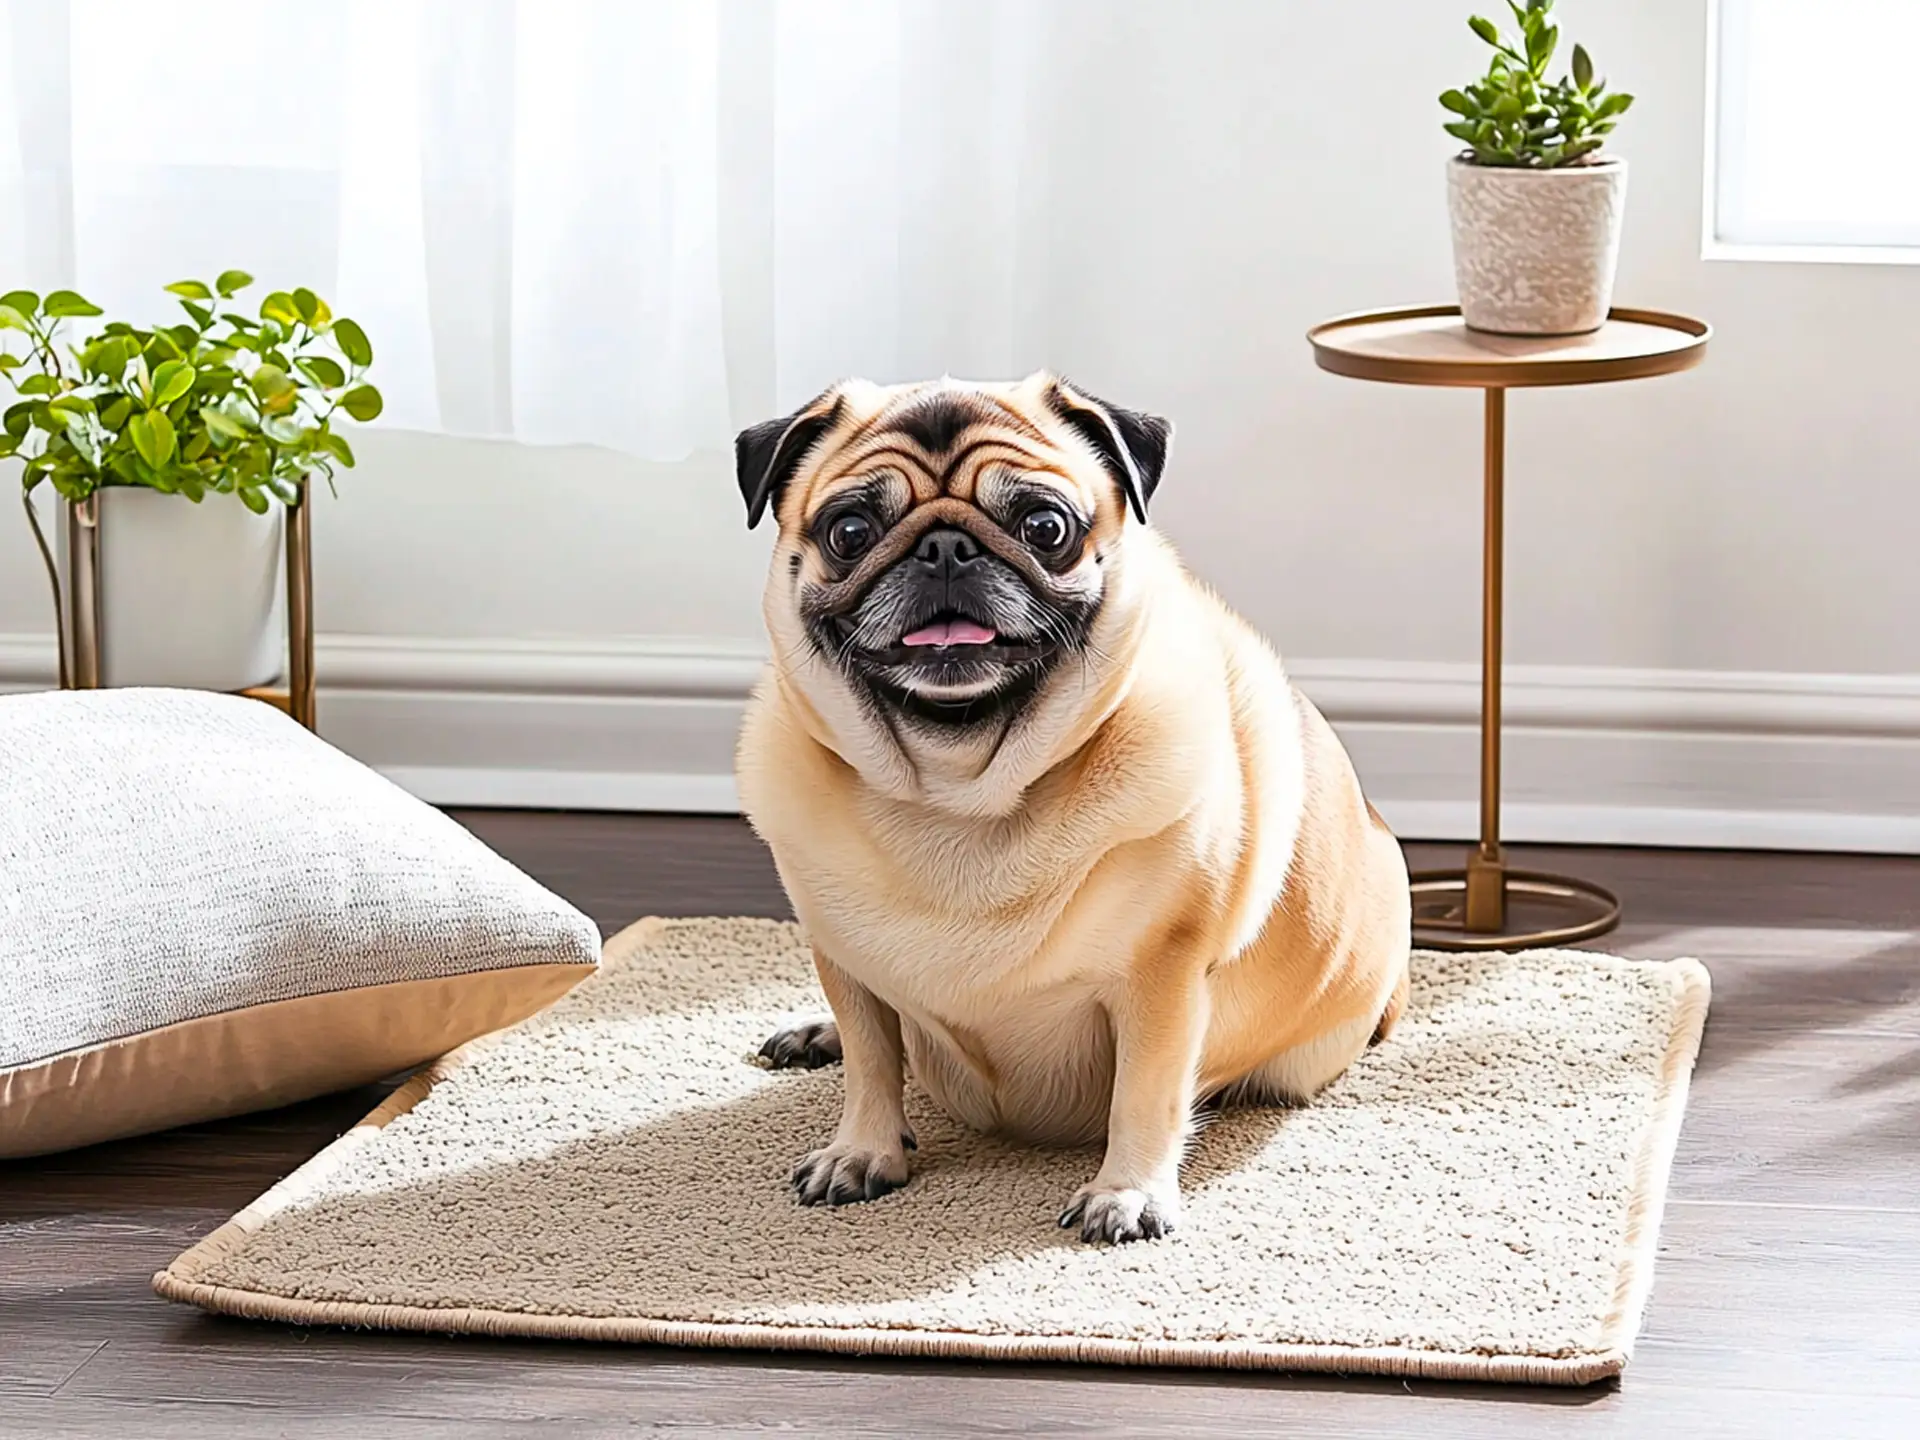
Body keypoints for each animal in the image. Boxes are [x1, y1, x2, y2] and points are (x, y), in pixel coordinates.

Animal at [733, 378, 1413, 1244]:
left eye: (1045, 527)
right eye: (849, 532)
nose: (945, 548)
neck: (959, 793)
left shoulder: (1161, 977)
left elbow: (1145, 1092)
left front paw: (1127, 1193)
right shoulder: (844, 962)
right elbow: (872, 1060)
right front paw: (862, 1149)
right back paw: (812, 1034)